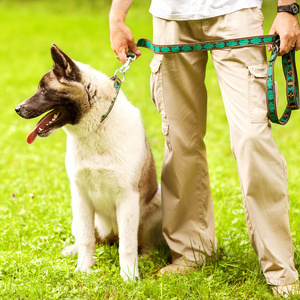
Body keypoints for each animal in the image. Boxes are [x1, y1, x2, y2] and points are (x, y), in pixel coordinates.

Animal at [15, 44, 163, 282]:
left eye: (44, 90)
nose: (17, 109)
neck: (96, 128)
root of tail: (111, 235)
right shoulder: (80, 194)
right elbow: (86, 239)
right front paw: (84, 269)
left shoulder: (128, 197)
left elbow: (128, 246)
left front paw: (129, 277)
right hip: (78, 216)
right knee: (91, 238)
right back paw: (73, 250)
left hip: (157, 201)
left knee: (141, 244)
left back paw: (146, 258)